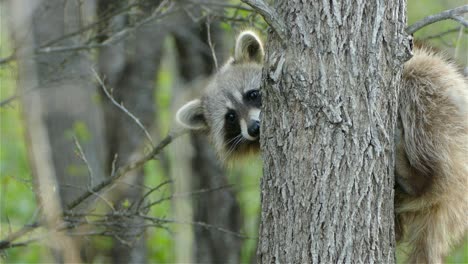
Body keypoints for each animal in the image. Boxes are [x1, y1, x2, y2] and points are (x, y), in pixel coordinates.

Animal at [176, 30, 468, 262]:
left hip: (447, 107)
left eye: (253, 94)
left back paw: (417, 176)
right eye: (230, 118)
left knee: (421, 78)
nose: (254, 129)